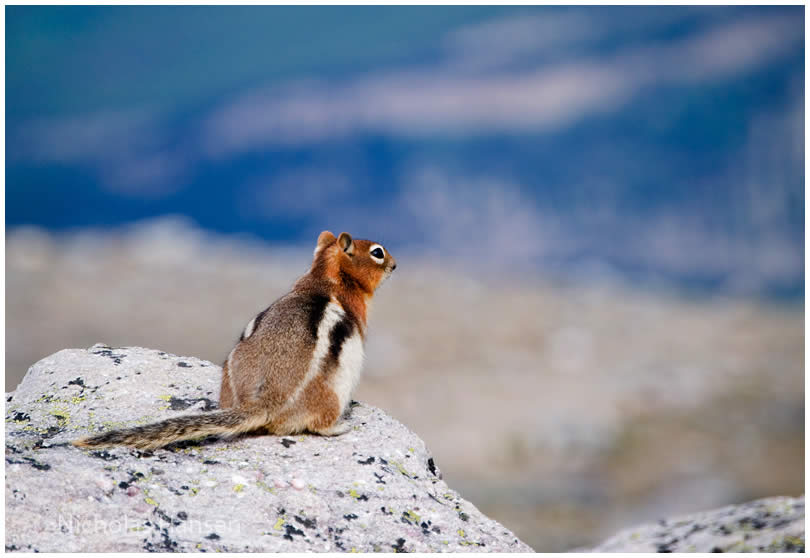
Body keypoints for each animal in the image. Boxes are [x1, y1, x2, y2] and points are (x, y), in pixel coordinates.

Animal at [72, 230, 394, 452]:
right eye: (377, 252)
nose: (394, 265)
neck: (324, 279)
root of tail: (264, 403)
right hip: (335, 391)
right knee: (316, 425)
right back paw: (340, 427)